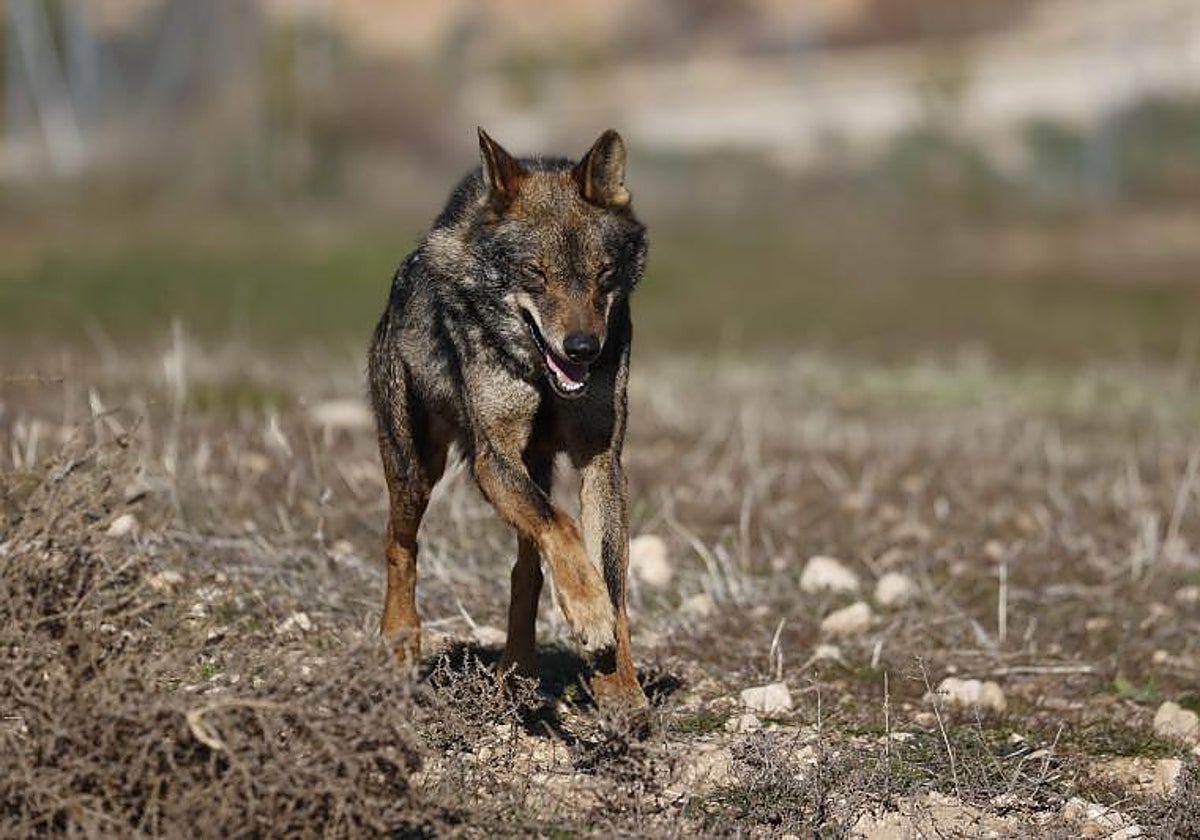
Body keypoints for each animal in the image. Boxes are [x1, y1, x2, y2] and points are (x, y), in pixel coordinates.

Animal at [367, 128, 649, 708]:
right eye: (535, 273)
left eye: (603, 273)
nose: (583, 349)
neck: (540, 376)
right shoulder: (492, 458)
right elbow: (559, 525)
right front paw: (589, 615)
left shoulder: (601, 461)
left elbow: (610, 580)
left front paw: (620, 686)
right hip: (415, 471)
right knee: (399, 547)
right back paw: (401, 643)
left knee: (527, 568)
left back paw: (517, 672)